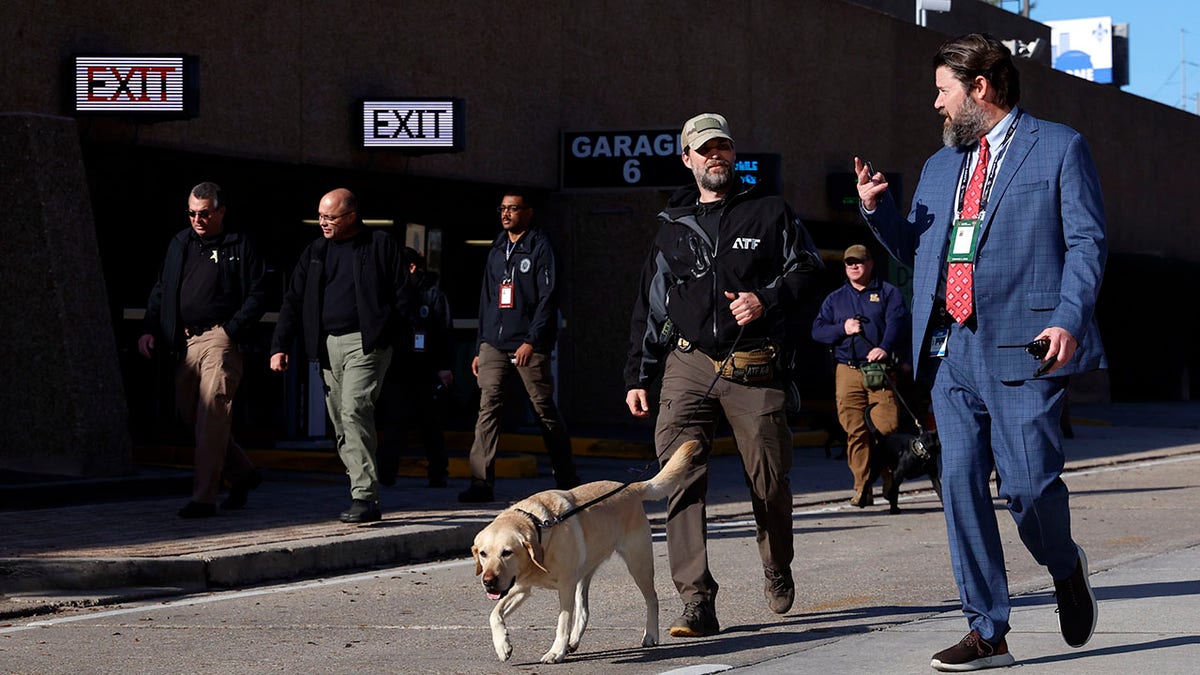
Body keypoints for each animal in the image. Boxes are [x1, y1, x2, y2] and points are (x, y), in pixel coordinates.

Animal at [468, 437, 696, 662]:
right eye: (483, 554)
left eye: (507, 552)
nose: (488, 581)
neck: (540, 529)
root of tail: (630, 488)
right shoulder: (521, 587)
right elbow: (494, 614)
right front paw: (502, 646)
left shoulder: (564, 587)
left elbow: (563, 622)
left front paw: (555, 652)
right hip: (584, 573)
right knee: (584, 610)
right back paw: (574, 640)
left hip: (638, 565)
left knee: (652, 599)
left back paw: (650, 635)